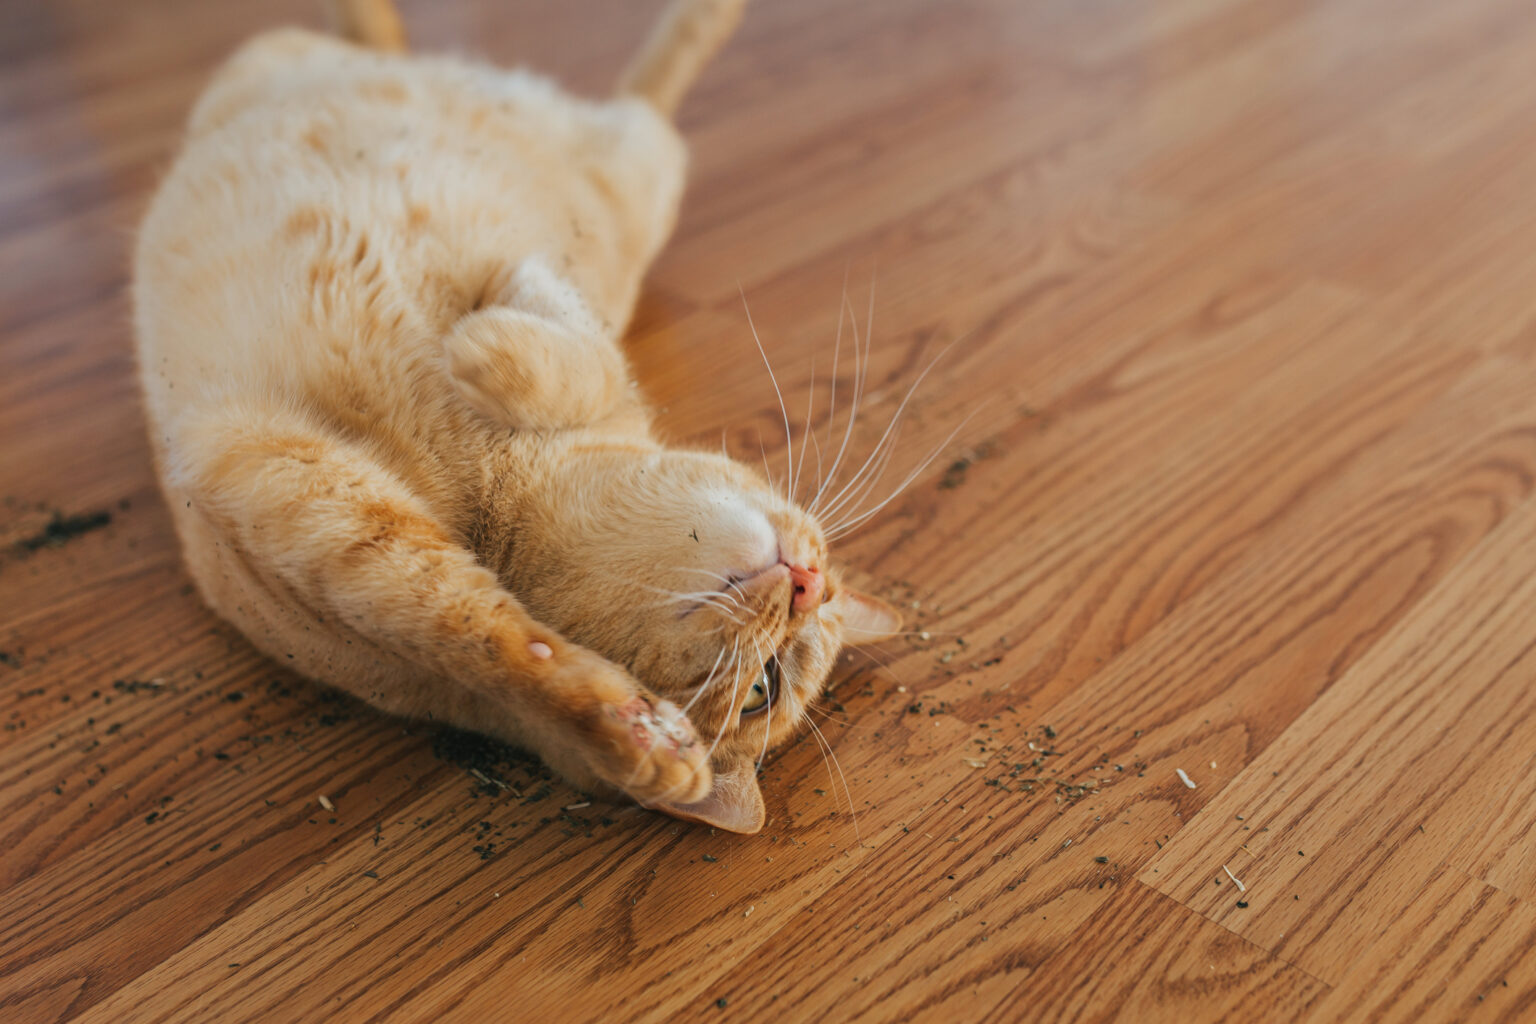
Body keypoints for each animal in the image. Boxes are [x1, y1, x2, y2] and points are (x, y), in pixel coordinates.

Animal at [135, 0, 897, 835]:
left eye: (764, 688)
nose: (807, 580)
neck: (503, 500)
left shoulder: (317, 513)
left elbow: (488, 640)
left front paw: (643, 743)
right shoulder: (302, 490)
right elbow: (571, 358)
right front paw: (482, 349)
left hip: (638, 155)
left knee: (648, 87)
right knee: (642, 81)